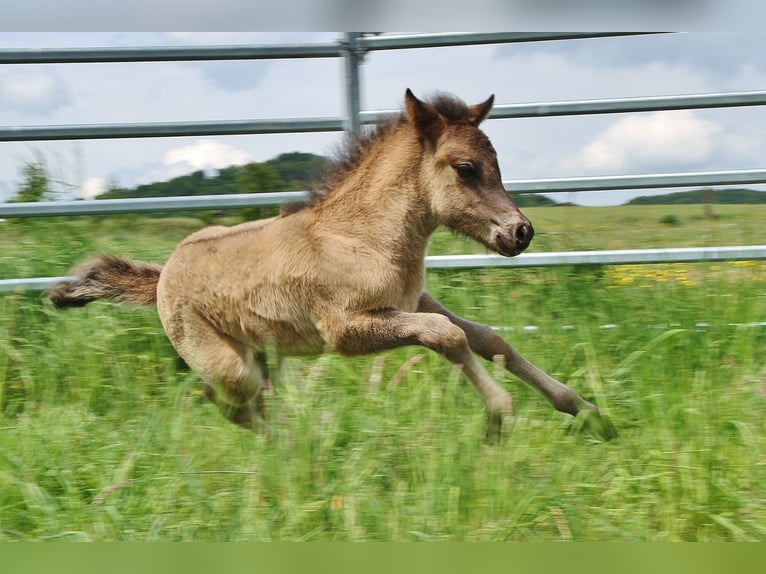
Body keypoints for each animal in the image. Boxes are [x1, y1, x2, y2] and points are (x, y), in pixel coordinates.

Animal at [50, 89, 615, 441]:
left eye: (497, 163)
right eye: (466, 168)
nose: (520, 232)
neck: (361, 236)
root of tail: (163, 273)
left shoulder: (413, 300)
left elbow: (486, 337)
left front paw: (589, 412)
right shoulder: (345, 330)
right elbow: (446, 337)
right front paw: (498, 418)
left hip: (263, 354)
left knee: (248, 402)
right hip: (229, 363)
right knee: (230, 402)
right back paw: (299, 448)